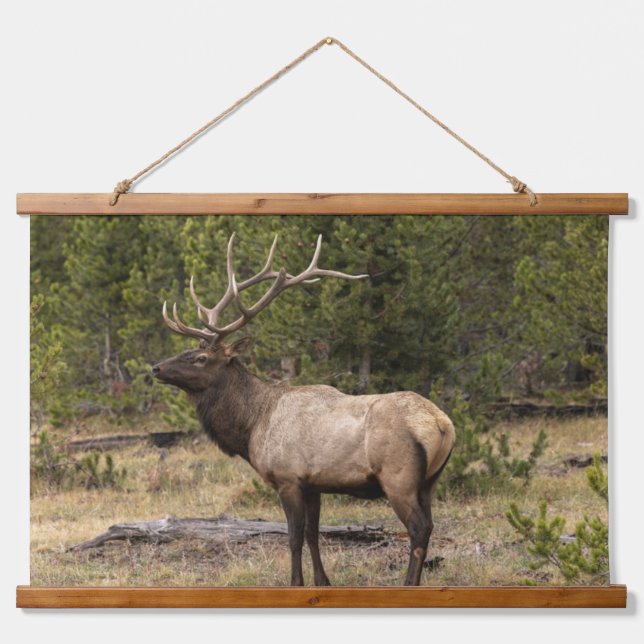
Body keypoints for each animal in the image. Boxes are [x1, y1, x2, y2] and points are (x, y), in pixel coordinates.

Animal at [152, 233, 455, 586]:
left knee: (418, 529)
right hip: (430, 481)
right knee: (430, 525)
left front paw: (296, 581)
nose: (156, 368)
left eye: (201, 358)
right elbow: (313, 533)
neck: (252, 426)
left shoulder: (288, 479)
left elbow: (294, 536)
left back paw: (407, 584)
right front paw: (323, 580)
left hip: (398, 477)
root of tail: (443, 423)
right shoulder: (314, 484)